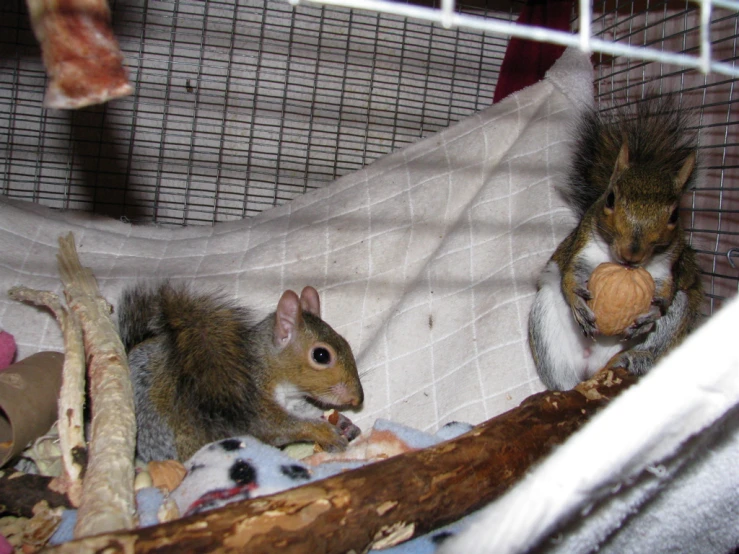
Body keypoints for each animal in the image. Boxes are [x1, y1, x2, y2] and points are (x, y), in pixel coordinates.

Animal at [116, 282, 368, 460]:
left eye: (345, 342)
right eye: (321, 355)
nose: (357, 398)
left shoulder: (294, 402)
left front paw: (342, 422)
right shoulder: (248, 398)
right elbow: (277, 427)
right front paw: (323, 432)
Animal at [528, 94, 704, 388]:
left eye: (674, 215)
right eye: (610, 199)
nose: (632, 253)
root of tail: (592, 366)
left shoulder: (668, 265)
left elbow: (666, 290)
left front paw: (651, 312)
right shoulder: (583, 245)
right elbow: (571, 273)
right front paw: (576, 298)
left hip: (675, 320)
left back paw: (635, 358)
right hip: (546, 323)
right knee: (562, 378)